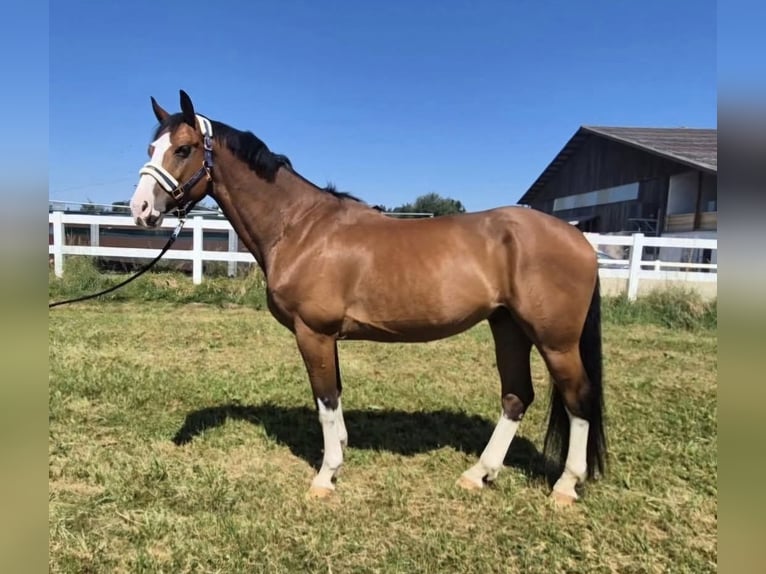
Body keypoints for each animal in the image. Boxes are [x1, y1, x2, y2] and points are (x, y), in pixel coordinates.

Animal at [130, 90, 606, 504]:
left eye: (184, 149)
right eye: (151, 147)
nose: (140, 210)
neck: (300, 227)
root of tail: (580, 240)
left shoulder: (314, 333)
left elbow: (325, 400)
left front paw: (325, 476)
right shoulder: (327, 337)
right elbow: (335, 396)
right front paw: (340, 452)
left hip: (555, 341)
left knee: (578, 398)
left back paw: (566, 486)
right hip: (508, 326)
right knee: (515, 397)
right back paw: (478, 474)